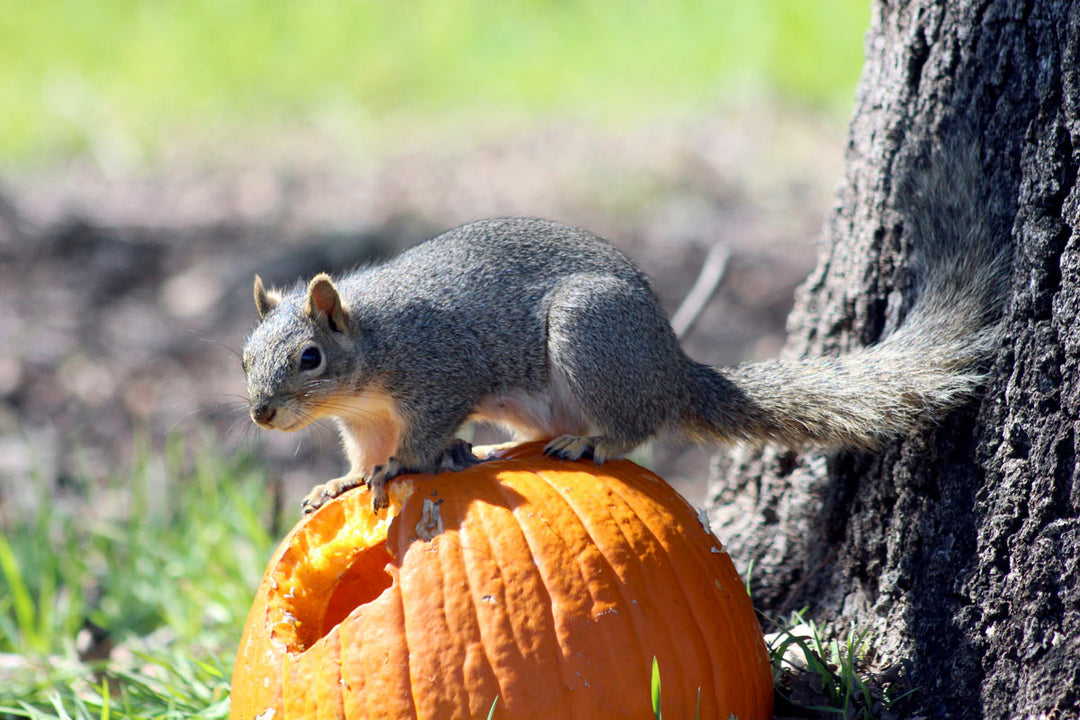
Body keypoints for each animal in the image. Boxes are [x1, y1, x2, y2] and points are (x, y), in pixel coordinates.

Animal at [242, 144, 1010, 513]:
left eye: (310, 357)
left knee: (637, 425)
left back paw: (592, 440)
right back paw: (500, 449)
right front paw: (344, 481)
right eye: (245, 357)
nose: (261, 414)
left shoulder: (439, 373)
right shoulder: (365, 419)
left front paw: (402, 466)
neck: (368, 353)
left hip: (590, 336)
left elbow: (424, 433)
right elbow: (361, 455)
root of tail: (672, 368)